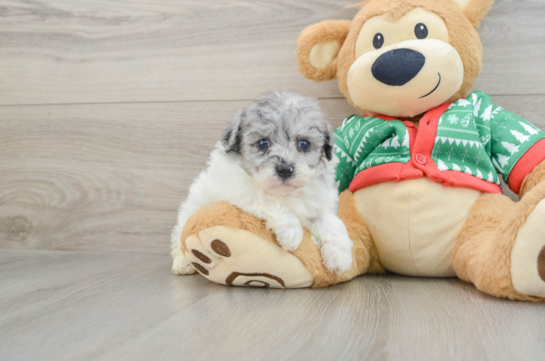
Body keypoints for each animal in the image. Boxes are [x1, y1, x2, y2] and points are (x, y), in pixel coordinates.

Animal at [172, 90, 354, 272]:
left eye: (304, 144)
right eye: (263, 143)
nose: (285, 169)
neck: (285, 193)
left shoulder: (320, 202)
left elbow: (331, 221)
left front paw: (340, 255)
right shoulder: (241, 192)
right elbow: (270, 201)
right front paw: (291, 231)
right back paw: (183, 263)